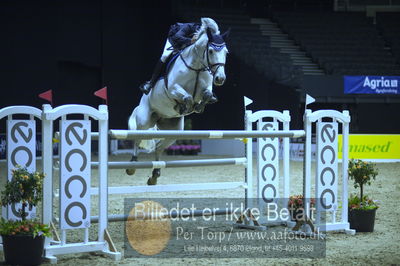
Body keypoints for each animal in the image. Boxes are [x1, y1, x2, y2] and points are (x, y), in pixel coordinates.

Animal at [126, 18, 230, 185]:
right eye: (211, 51)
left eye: (226, 52)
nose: (220, 78)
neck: (197, 67)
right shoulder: (173, 88)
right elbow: (186, 97)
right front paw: (184, 106)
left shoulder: (206, 89)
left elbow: (207, 95)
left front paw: (197, 107)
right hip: (145, 121)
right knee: (137, 139)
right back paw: (132, 165)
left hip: (173, 131)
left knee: (159, 147)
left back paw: (154, 175)